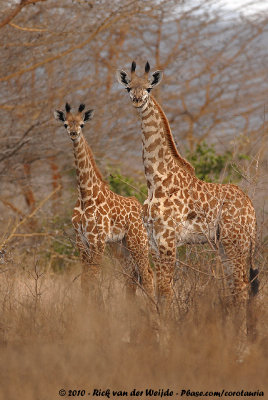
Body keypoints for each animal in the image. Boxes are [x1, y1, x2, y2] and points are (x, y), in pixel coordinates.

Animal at [53, 102, 154, 304]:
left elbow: (93, 278)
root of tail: (142, 210)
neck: (85, 195)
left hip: (138, 242)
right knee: (132, 275)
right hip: (120, 245)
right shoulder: (81, 241)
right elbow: (85, 281)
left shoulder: (97, 240)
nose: (74, 134)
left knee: (147, 275)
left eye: (82, 124)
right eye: (66, 124)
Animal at [116, 60, 258, 322]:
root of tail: (251, 209)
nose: (138, 100)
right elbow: (157, 289)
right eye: (128, 87)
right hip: (225, 244)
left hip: (235, 242)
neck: (155, 180)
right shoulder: (154, 240)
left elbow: (165, 291)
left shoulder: (167, 239)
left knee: (241, 288)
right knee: (236, 287)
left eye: (149, 87)